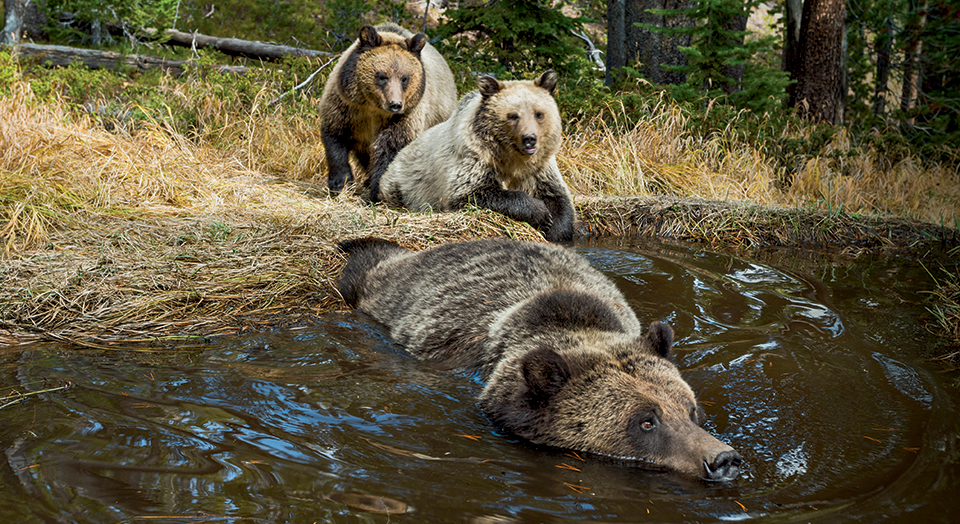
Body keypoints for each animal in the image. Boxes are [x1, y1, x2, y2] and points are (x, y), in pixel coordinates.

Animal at [318, 23, 458, 199]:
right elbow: (335, 138)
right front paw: (340, 184)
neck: (373, 108)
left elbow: (391, 149)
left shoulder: (404, 117)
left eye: (404, 78)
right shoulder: (346, 107)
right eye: (382, 76)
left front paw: (377, 192)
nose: (395, 104)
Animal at [376, 70, 572, 244]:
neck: (512, 158)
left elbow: (558, 197)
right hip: (401, 183)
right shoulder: (476, 158)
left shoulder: (539, 168)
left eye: (539, 113)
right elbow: (473, 192)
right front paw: (540, 212)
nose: (529, 139)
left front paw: (555, 229)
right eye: (512, 116)